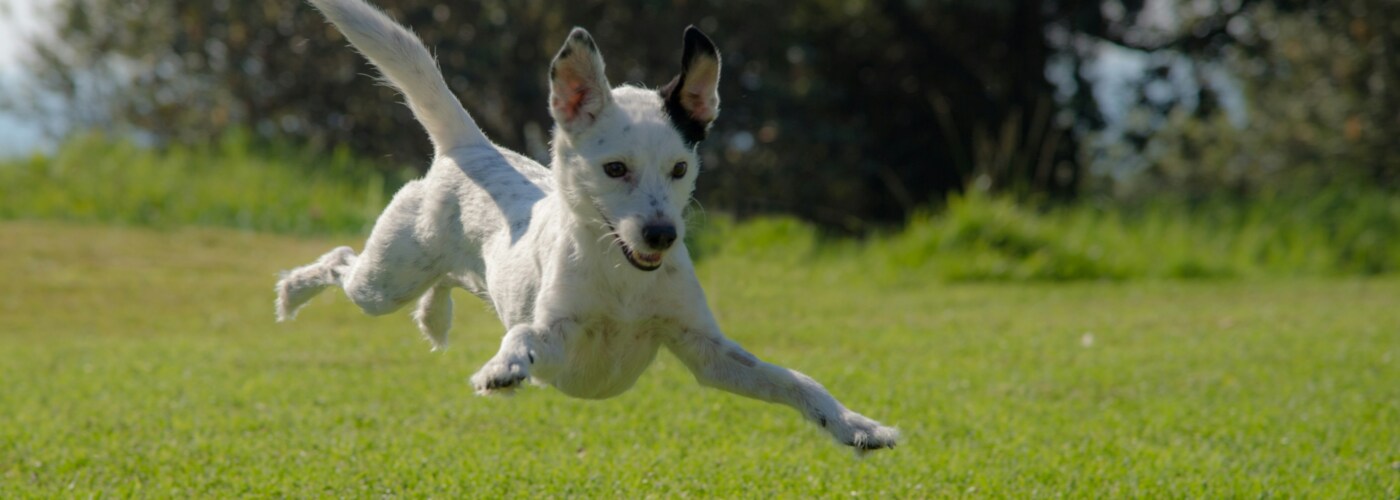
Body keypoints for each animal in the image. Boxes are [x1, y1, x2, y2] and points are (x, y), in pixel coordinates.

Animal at [278, 0, 901, 450]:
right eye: (615, 169)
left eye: (680, 168)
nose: (662, 235)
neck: (622, 278)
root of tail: (471, 148)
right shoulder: (559, 340)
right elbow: (524, 336)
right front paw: (502, 367)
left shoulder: (708, 352)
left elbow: (795, 379)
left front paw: (857, 426)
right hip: (385, 280)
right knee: (340, 262)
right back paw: (292, 293)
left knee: (440, 282)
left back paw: (434, 315)